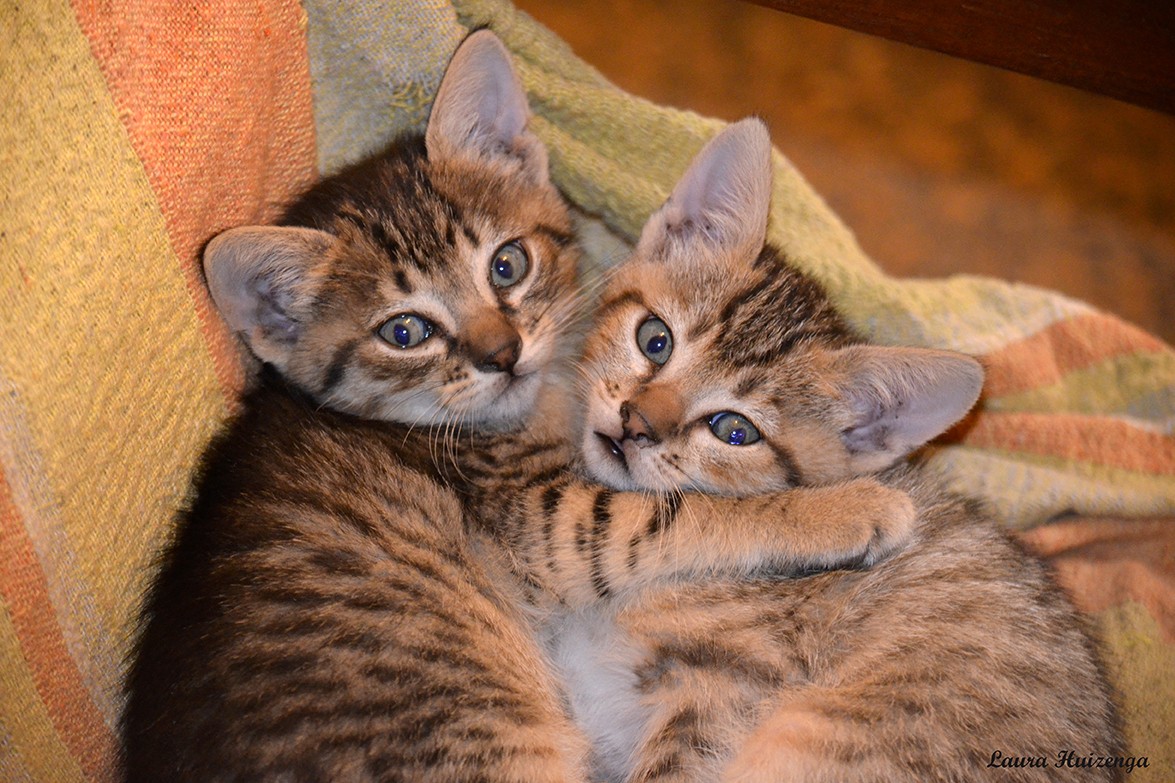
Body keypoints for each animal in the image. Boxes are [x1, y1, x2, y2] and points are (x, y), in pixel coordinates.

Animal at [126, 32, 916, 780]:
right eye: (404, 332)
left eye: (507, 265)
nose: (502, 352)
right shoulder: (546, 520)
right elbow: (682, 512)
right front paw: (851, 507)